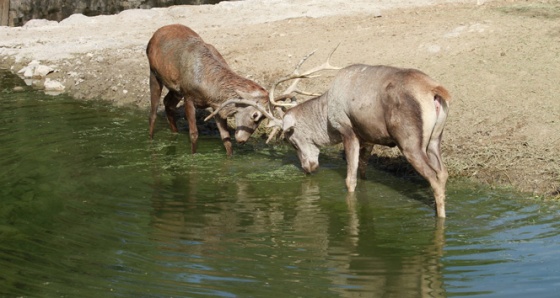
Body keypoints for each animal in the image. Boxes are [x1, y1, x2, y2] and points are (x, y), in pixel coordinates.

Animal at [147, 23, 270, 156]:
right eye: (255, 115)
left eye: (264, 118)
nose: (242, 140)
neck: (209, 92)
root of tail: (154, 35)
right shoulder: (188, 95)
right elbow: (194, 134)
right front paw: (193, 155)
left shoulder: (217, 106)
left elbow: (226, 137)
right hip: (154, 73)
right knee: (153, 114)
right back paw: (151, 141)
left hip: (176, 89)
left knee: (167, 103)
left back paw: (174, 133)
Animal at [209, 56, 450, 218]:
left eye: (291, 140)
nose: (307, 168)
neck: (325, 116)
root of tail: (436, 91)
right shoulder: (368, 137)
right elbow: (362, 171)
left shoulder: (347, 130)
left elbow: (350, 179)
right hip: (435, 139)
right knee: (443, 173)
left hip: (409, 141)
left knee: (434, 177)